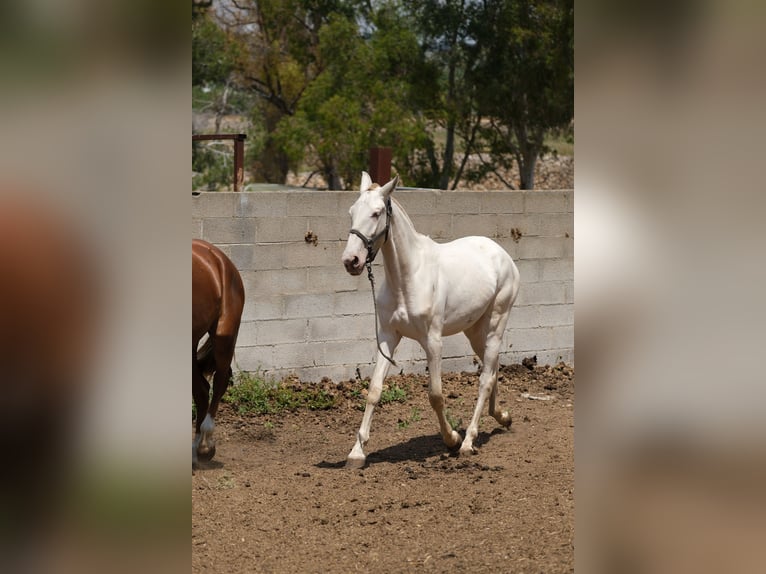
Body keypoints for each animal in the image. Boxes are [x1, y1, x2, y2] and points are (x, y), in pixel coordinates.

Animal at [344, 172, 520, 468]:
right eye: (351, 212)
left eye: (376, 213)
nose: (351, 261)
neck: (407, 278)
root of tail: (503, 255)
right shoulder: (388, 337)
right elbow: (374, 390)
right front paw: (357, 452)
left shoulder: (433, 342)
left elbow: (436, 395)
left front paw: (452, 439)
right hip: (475, 331)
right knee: (493, 369)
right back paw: (502, 417)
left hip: (497, 323)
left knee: (485, 378)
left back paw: (469, 441)